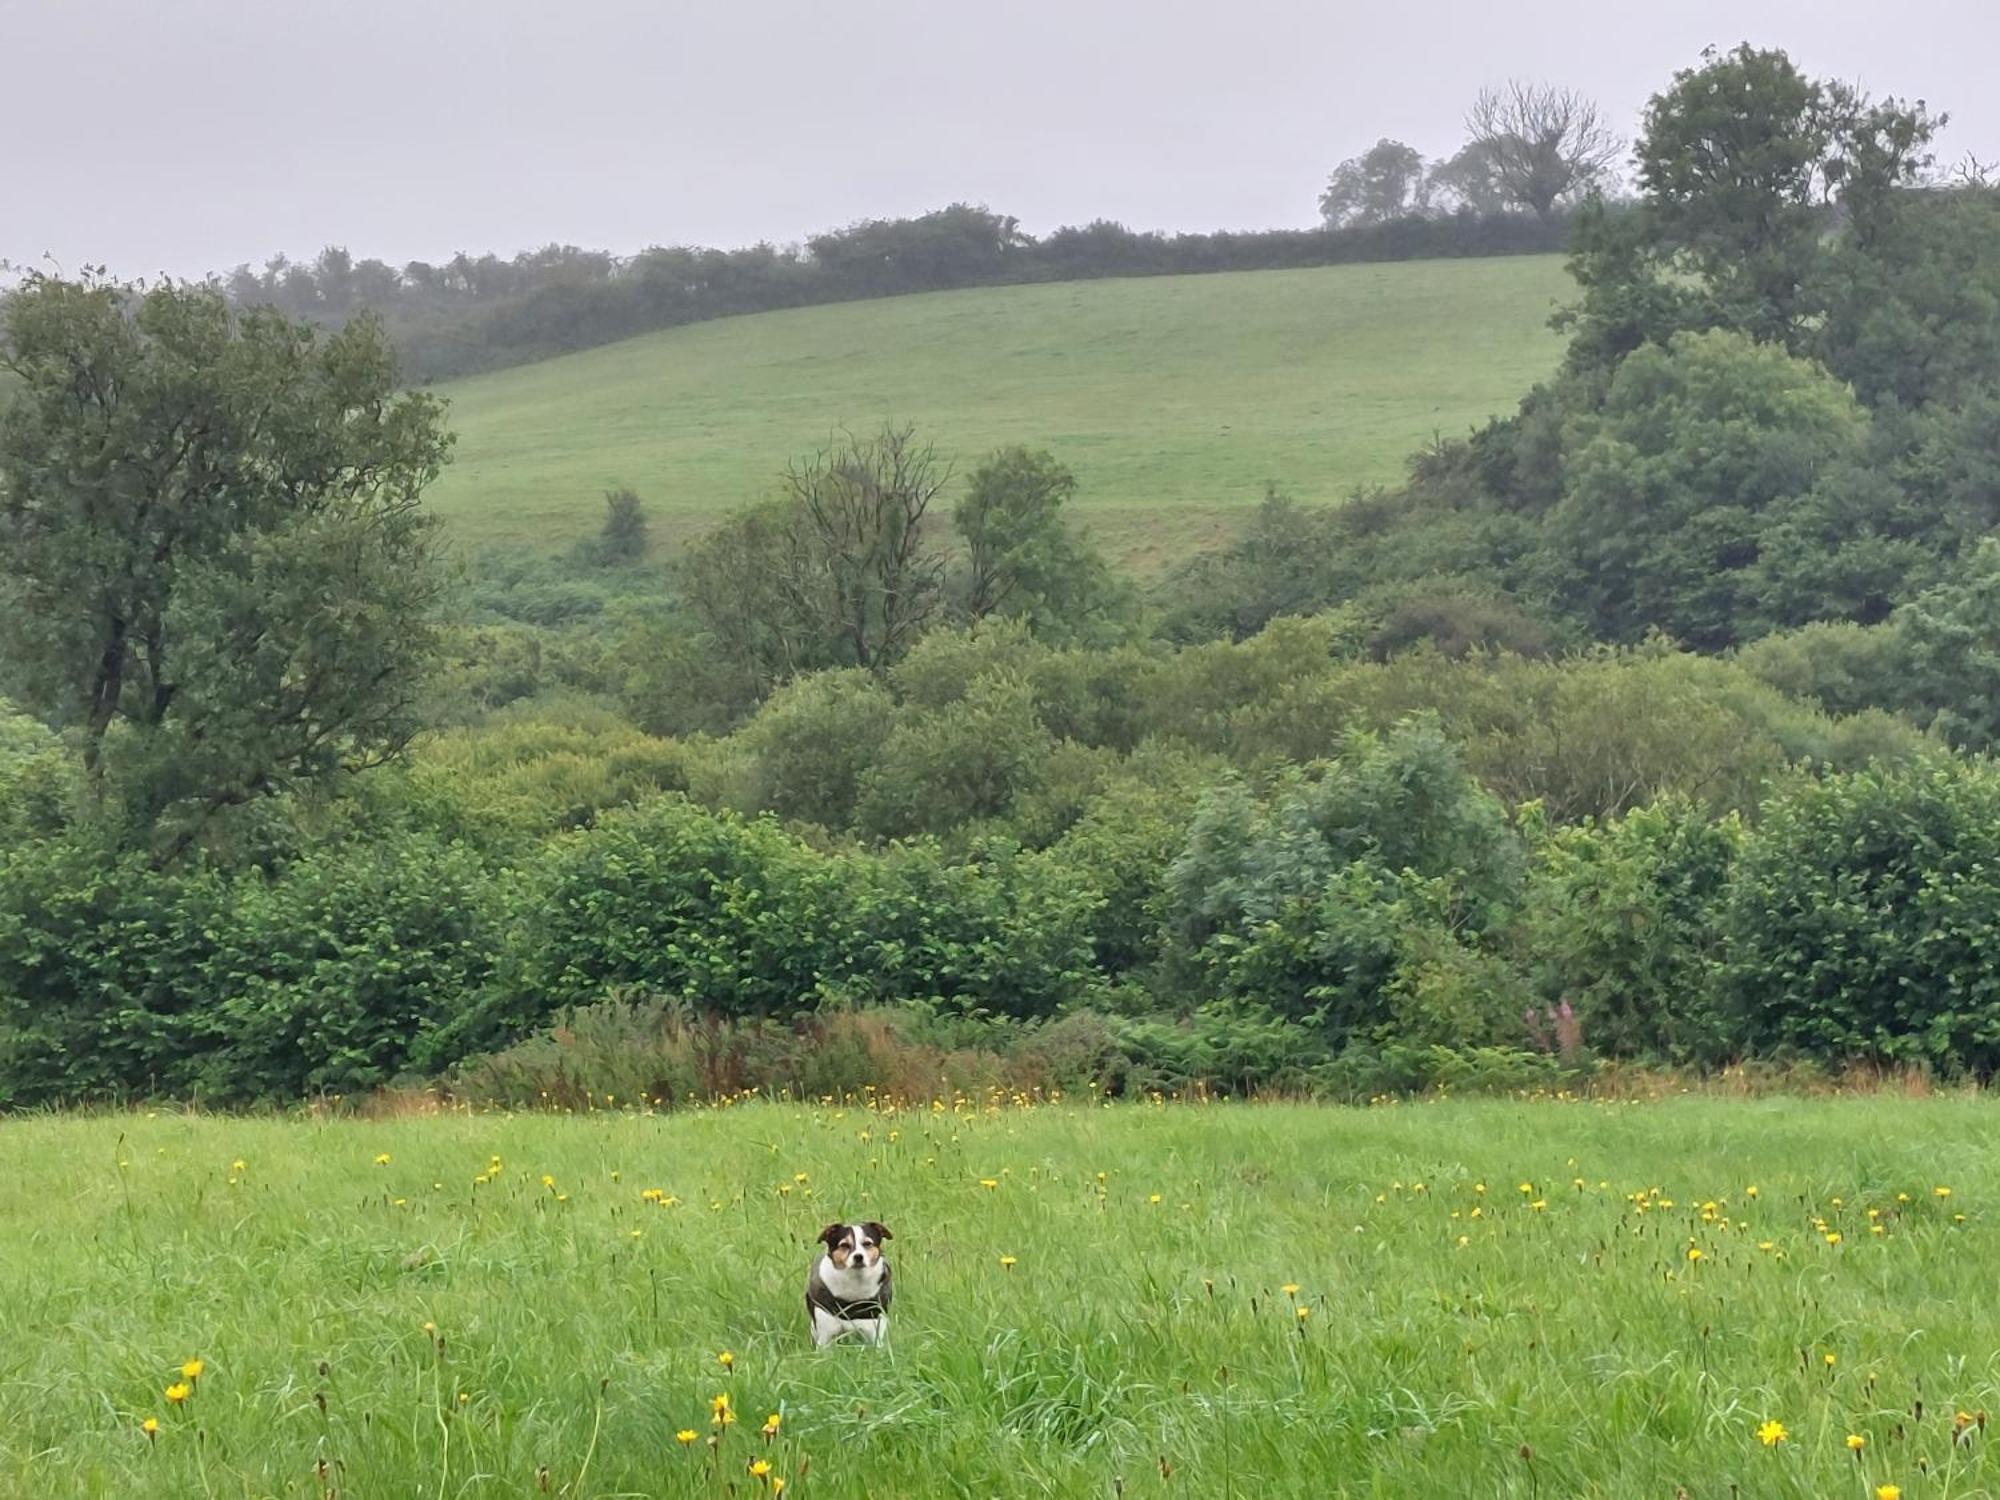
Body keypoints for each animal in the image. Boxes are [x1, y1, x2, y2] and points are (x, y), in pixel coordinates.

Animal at [808, 1224, 896, 1352]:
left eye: (867, 1243)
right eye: (844, 1245)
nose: (858, 1256)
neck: (855, 1282)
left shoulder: (874, 1332)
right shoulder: (826, 1335)